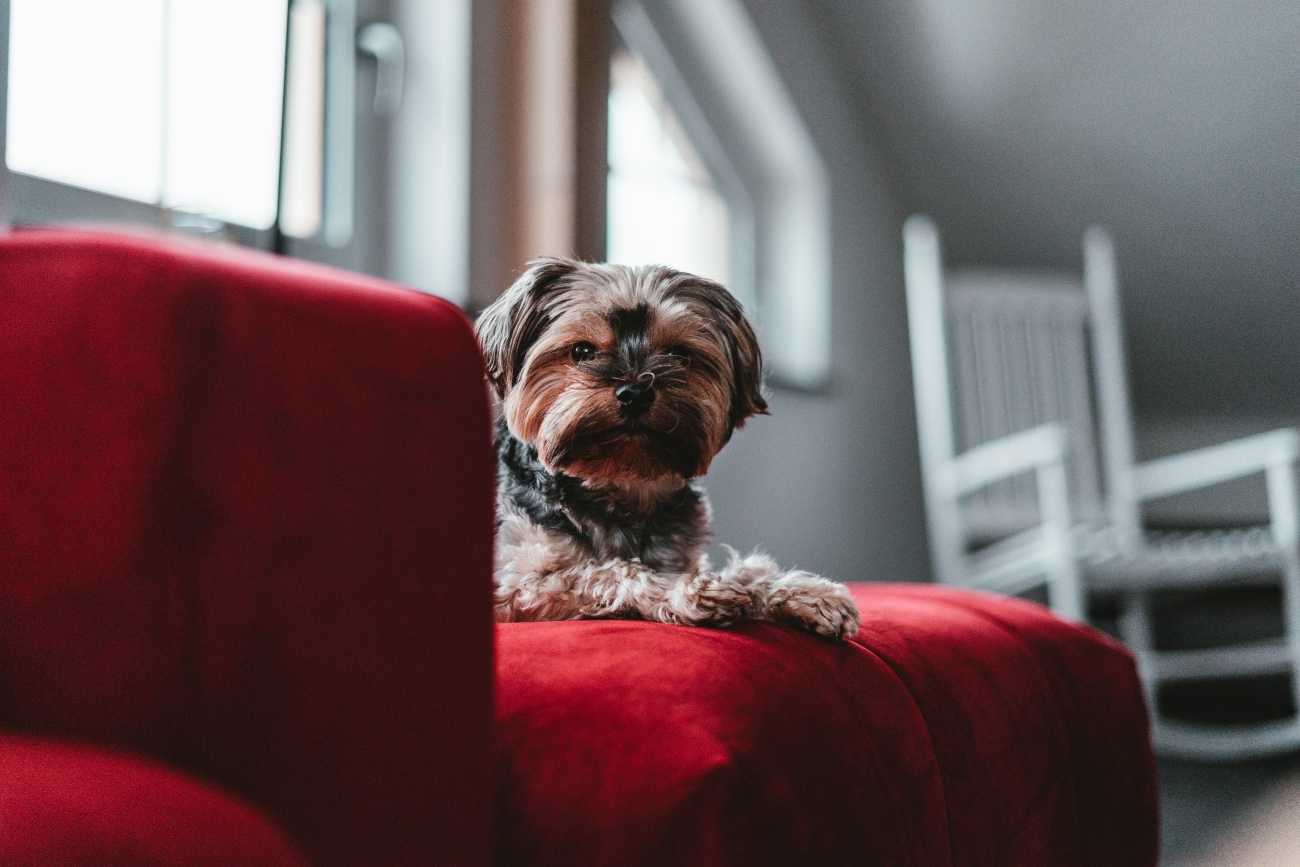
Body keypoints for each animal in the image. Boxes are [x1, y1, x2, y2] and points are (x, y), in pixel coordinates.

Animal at [473, 254, 857, 642]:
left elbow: (747, 572)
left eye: (678, 353)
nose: (635, 392)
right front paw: (687, 591)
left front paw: (805, 594)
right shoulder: (517, 586)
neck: (621, 487)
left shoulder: (681, 553)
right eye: (582, 351)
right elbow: (609, 570)